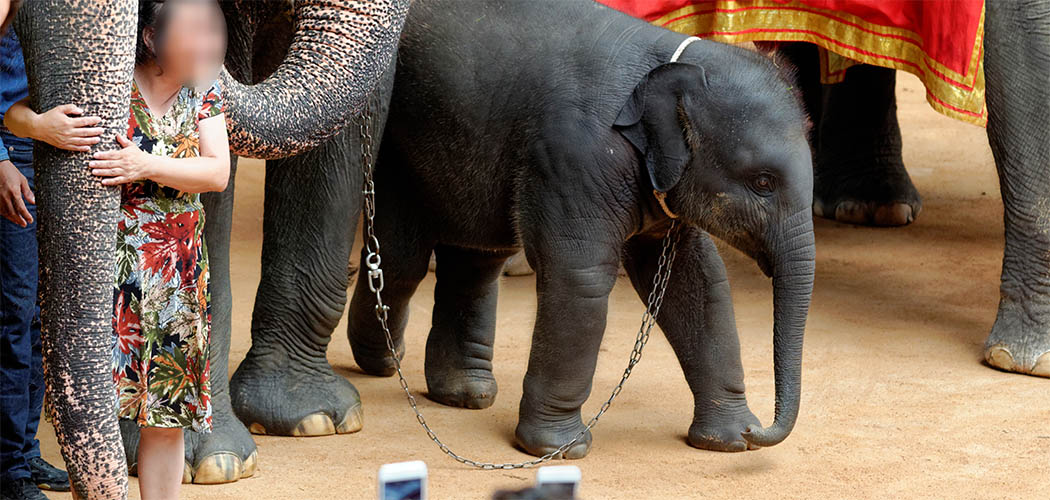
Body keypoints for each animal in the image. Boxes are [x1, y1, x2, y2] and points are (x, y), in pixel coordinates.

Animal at [337, 0, 815, 458]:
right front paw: (558, 450)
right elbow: (578, 277)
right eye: (763, 182)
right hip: (397, 152)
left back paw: (464, 394)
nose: (759, 431)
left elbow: (696, 280)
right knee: (404, 260)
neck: (666, 58)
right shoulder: (573, 155)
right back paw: (385, 362)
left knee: (475, 257)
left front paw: (728, 442)